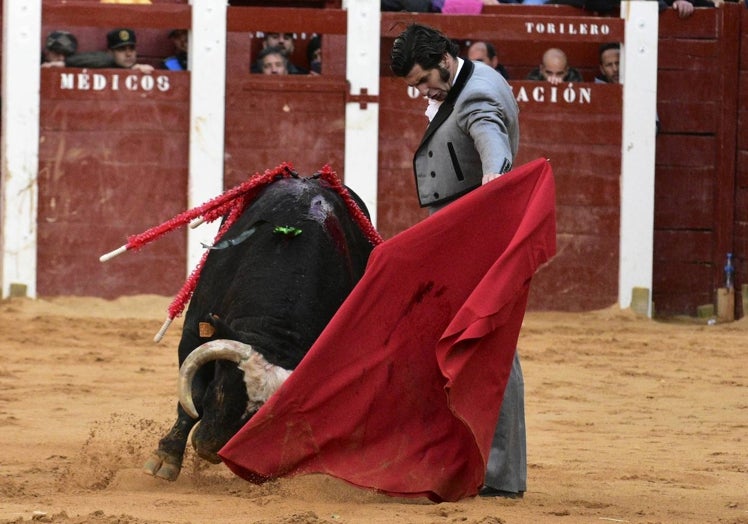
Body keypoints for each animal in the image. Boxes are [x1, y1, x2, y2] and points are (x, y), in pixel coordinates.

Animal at [142, 177, 374, 484]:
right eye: (221, 389)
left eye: (264, 417)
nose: (210, 450)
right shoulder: (195, 329)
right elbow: (191, 397)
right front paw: (165, 459)